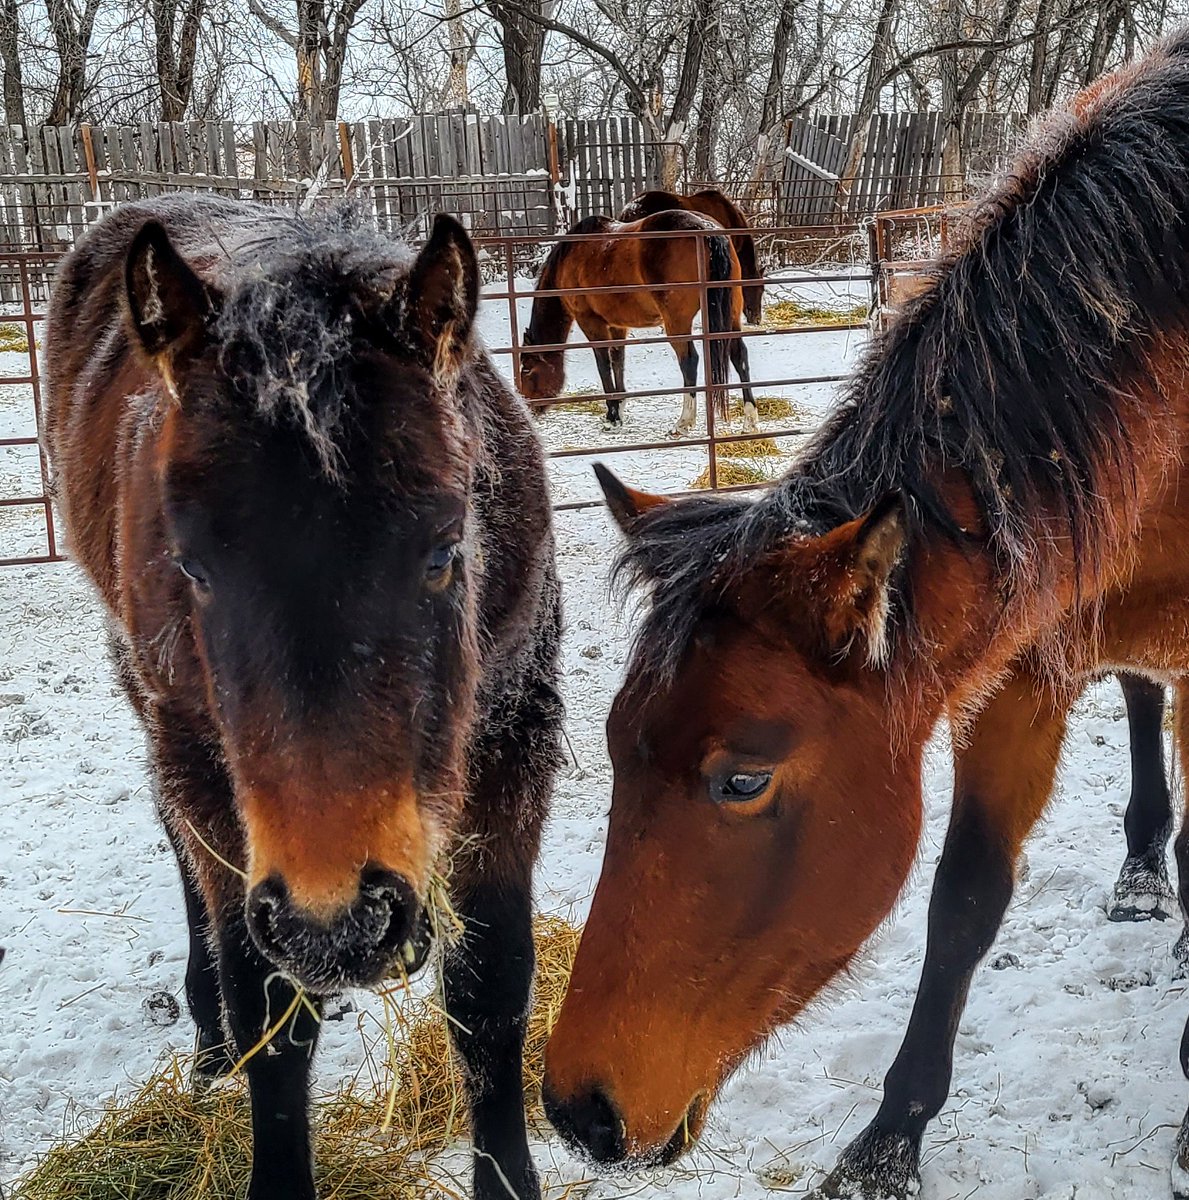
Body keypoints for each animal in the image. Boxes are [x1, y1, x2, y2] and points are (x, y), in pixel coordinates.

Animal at [42, 195, 563, 1200]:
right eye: (193, 568)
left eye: (445, 549)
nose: (339, 925)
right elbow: (270, 1018)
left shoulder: (512, 746)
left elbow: (490, 994)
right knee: (183, 847)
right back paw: (209, 1043)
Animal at [516, 211, 757, 437]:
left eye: (526, 370)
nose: (528, 411)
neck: (570, 258)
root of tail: (707, 231)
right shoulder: (617, 325)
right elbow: (618, 361)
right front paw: (619, 409)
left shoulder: (591, 322)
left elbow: (603, 365)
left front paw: (612, 417)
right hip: (731, 314)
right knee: (739, 356)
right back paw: (750, 420)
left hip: (677, 322)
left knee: (689, 360)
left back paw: (683, 423)